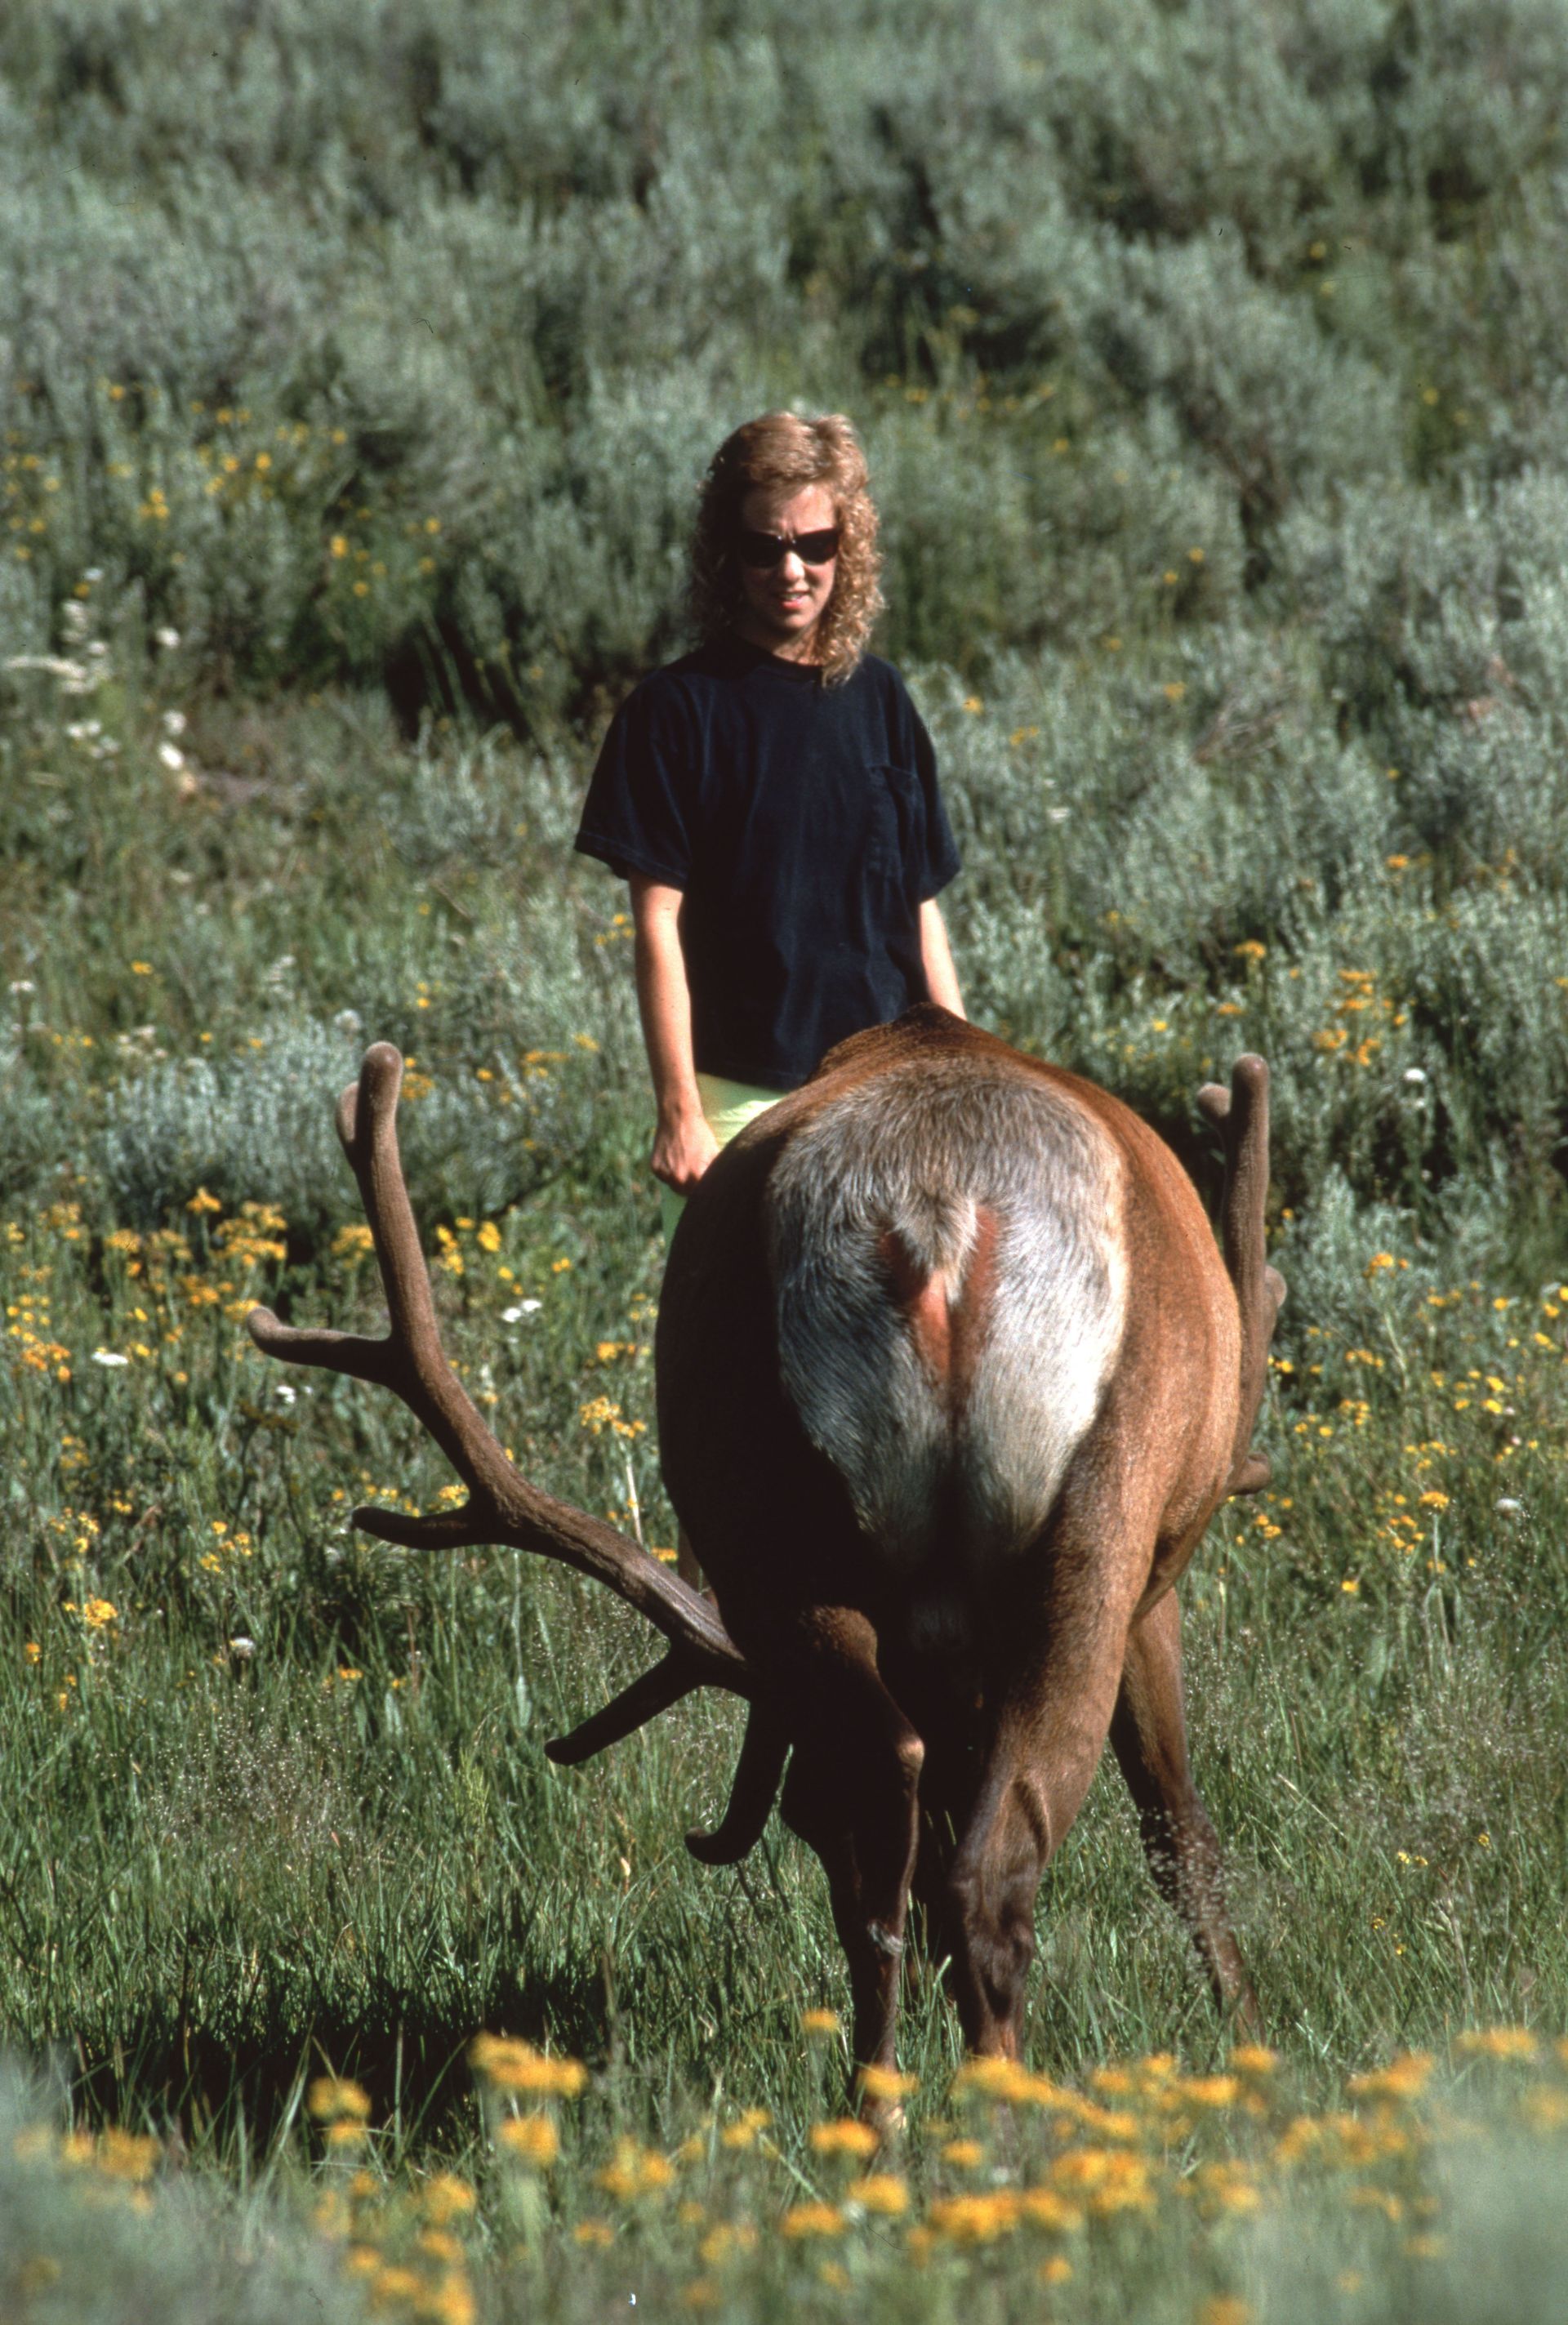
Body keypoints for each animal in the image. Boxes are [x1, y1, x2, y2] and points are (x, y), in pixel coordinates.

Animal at [248, 1004, 1284, 2092]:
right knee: (989, 1869)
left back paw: (879, 2103)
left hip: (771, 1508)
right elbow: (1180, 1826)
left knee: (886, 1802)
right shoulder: (1159, 1585)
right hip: (1101, 1510)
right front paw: (1251, 2033)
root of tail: (938, 1216)